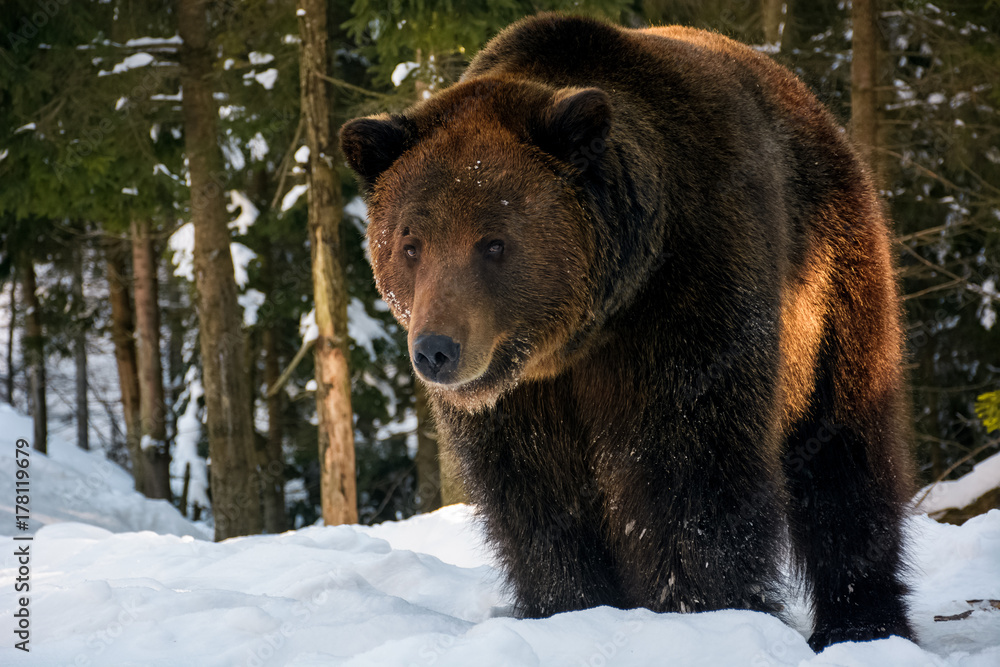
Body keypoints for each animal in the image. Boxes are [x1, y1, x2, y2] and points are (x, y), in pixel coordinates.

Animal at [340, 14, 916, 651]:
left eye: (493, 242)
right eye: (410, 243)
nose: (437, 350)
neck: (582, 334)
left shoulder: (686, 306)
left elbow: (688, 471)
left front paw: (700, 612)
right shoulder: (522, 400)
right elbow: (535, 496)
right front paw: (568, 607)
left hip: (830, 282)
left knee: (847, 454)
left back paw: (863, 622)